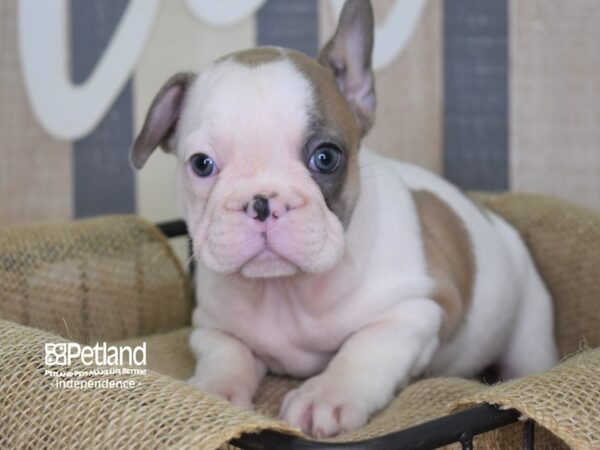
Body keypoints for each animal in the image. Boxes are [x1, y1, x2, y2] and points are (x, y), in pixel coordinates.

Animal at [131, 0, 556, 438]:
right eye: (201, 164)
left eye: (325, 157)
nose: (262, 201)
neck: (285, 291)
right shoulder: (211, 326)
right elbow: (225, 353)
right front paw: (213, 390)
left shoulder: (413, 310)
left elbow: (362, 350)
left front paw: (327, 395)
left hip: (529, 336)